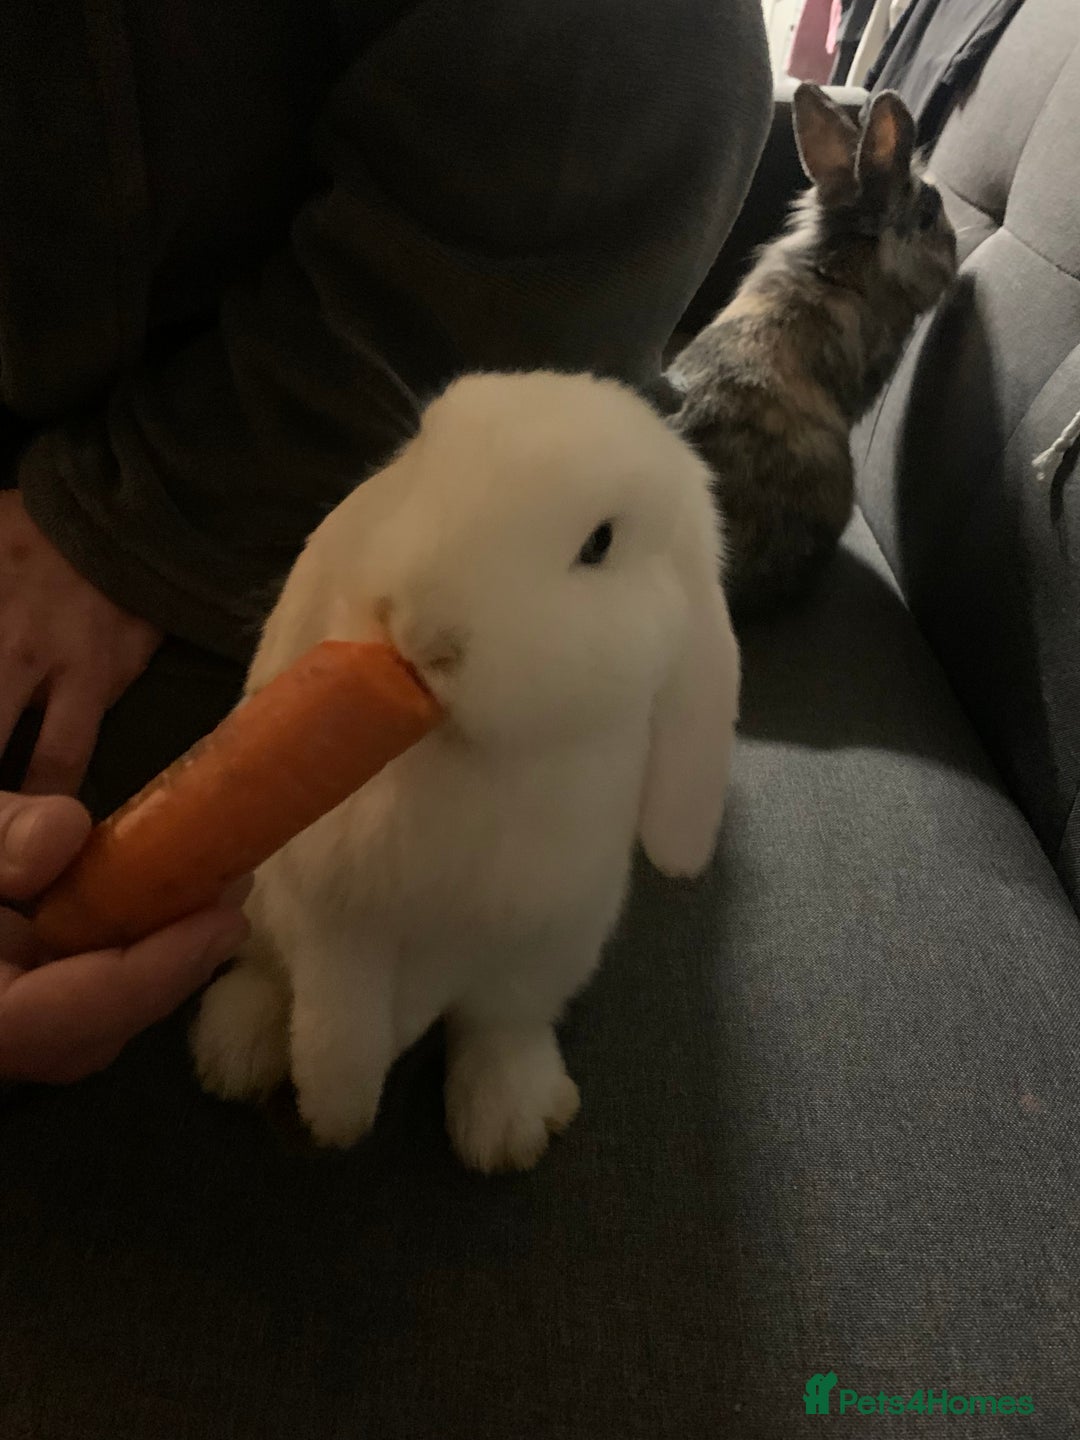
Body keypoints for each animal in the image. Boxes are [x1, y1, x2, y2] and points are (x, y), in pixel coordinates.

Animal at [190, 370, 740, 1173]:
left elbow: (494, 1022)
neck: (463, 754)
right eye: (422, 459)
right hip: (264, 903)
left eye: (600, 543)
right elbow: (337, 1031)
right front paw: (336, 1120)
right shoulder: (336, 919)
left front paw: (500, 1134)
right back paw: (232, 1051)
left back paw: (508, 1125)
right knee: (268, 968)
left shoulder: (537, 944)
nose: (424, 635)